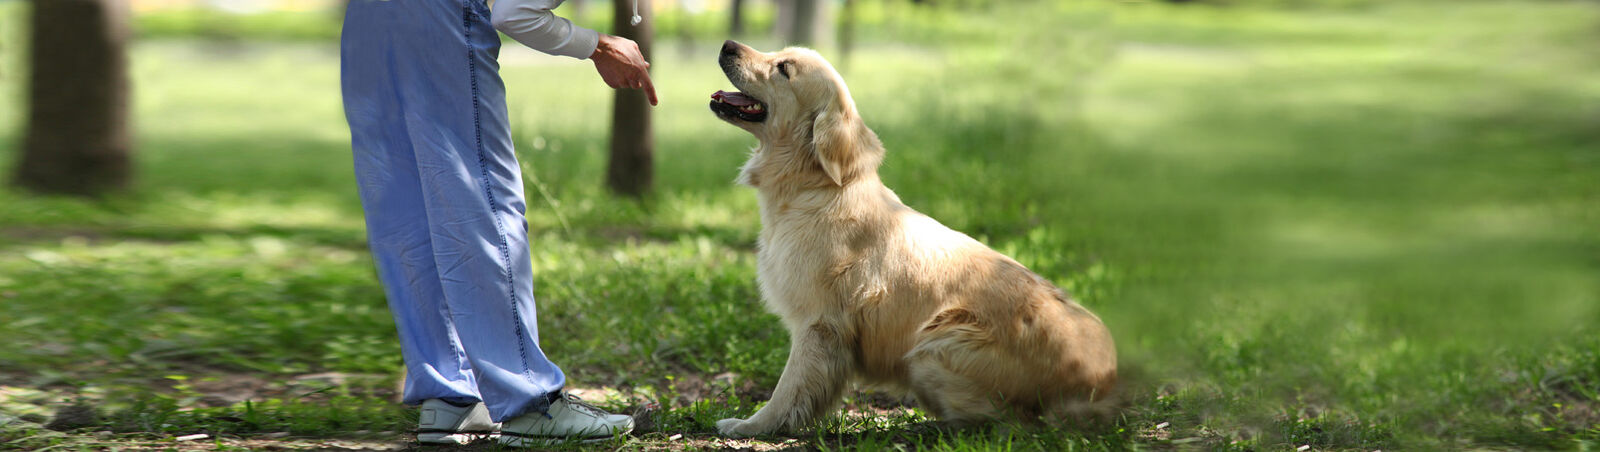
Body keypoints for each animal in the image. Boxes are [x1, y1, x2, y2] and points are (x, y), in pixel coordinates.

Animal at [707, 39, 1120, 439]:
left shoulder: (819, 325)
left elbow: (788, 390)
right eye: (778, 53)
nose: (727, 44)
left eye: (783, 69)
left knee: (1011, 422)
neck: (816, 186)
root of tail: (1106, 382)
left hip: (934, 346)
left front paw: (751, 426)